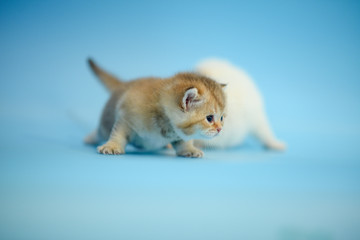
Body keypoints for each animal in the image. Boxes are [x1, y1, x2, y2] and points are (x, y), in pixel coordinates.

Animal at [84, 58, 225, 158]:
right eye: (209, 118)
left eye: (222, 118)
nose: (220, 129)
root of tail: (125, 83)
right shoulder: (126, 116)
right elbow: (118, 132)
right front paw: (112, 145)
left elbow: (184, 142)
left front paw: (189, 149)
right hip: (106, 121)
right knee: (101, 131)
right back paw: (90, 138)